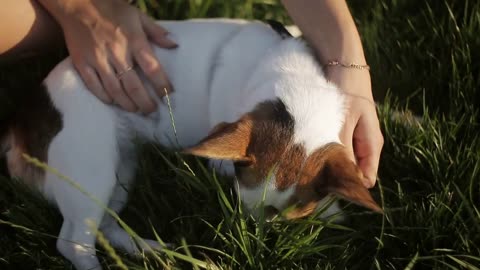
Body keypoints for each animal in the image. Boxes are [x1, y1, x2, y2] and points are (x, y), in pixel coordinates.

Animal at [0, 19, 382, 270]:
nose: (256, 240)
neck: (293, 84)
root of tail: (22, 121)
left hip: (121, 167)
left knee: (104, 226)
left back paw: (147, 248)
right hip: (90, 166)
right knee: (74, 242)